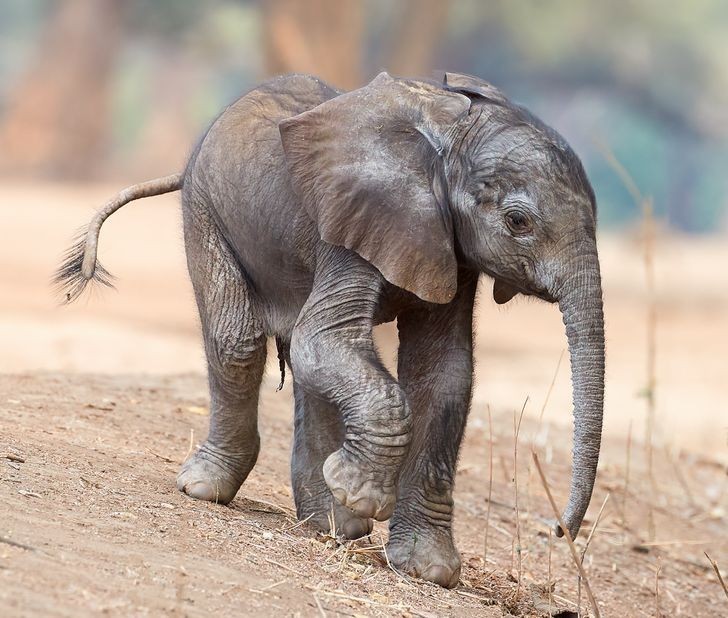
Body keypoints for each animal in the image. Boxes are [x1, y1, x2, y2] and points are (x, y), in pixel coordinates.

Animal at [55, 70, 604, 584]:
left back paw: (330, 526)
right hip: (206, 207)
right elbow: (324, 340)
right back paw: (209, 490)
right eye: (518, 222)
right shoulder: (358, 218)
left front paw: (425, 570)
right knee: (239, 340)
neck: (450, 133)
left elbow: (443, 374)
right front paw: (360, 494)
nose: (558, 531)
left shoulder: (450, 247)